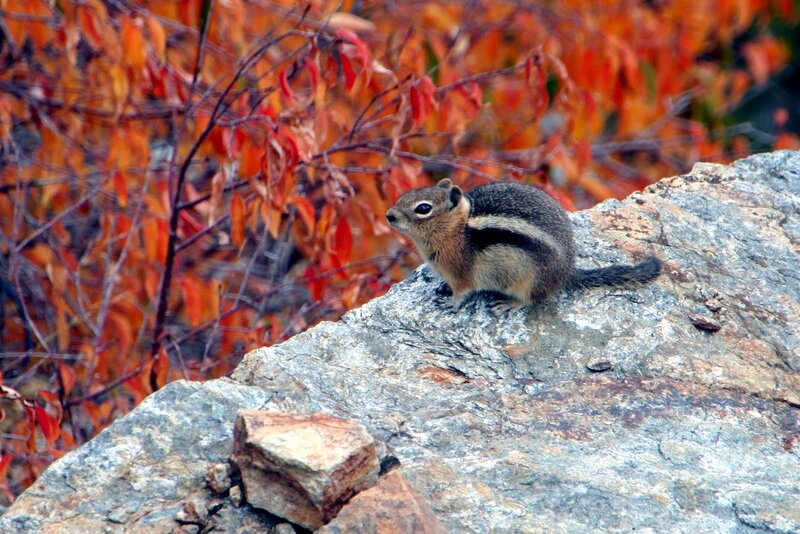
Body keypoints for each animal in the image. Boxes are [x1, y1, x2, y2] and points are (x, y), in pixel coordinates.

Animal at [386, 178, 661, 307]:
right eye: (407, 194)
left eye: (423, 208)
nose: (389, 215)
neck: (457, 228)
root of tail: (566, 273)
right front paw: (442, 286)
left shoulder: (461, 272)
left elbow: (462, 292)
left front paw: (450, 301)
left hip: (527, 279)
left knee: (530, 299)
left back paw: (509, 304)